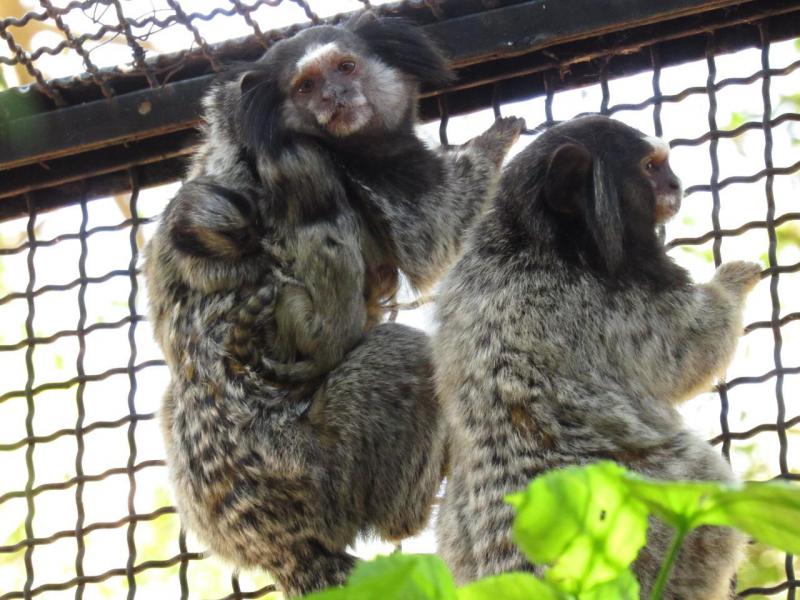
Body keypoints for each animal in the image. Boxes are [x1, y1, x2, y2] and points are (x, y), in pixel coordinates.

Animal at [145, 11, 524, 596]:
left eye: (345, 66)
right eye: (305, 87)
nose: (334, 97)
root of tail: (286, 550)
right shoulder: (341, 170)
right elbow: (435, 231)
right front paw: (498, 138)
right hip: (312, 471)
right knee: (406, 355)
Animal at [438, 115, 756, 596]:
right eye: (651, 167)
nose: (676, 184)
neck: (534, 239)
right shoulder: (612, 303)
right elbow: (693, 350)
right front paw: (734, 282)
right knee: (699, 476)